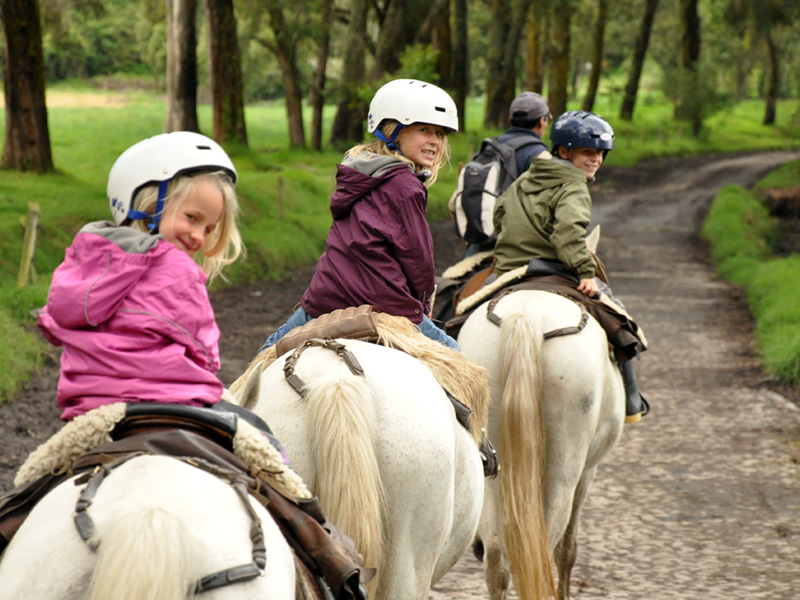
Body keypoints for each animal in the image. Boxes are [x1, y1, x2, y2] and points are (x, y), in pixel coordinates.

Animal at [460, 288, 628, 596]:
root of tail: (526, 317)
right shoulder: (587, 473)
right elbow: (567, 550)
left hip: (493, 468)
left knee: (496, 560)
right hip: (562, 472)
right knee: (544, 554)